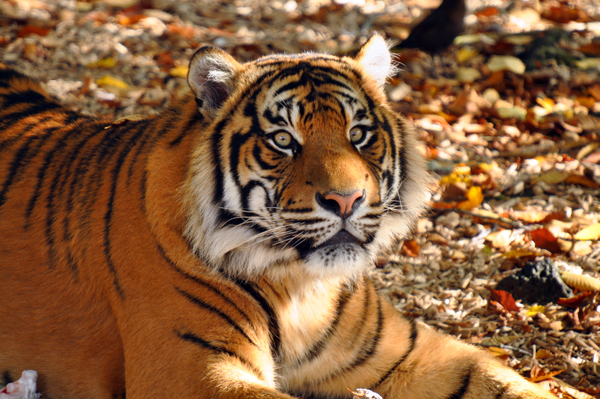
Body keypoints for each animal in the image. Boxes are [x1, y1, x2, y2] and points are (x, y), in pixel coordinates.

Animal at [0, 35, 552, 399]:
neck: (299, 287)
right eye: (283, 140)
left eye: (358, 134)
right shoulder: (191, 367)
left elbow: (506, 382)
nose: (347, 199)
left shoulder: (407, 353)